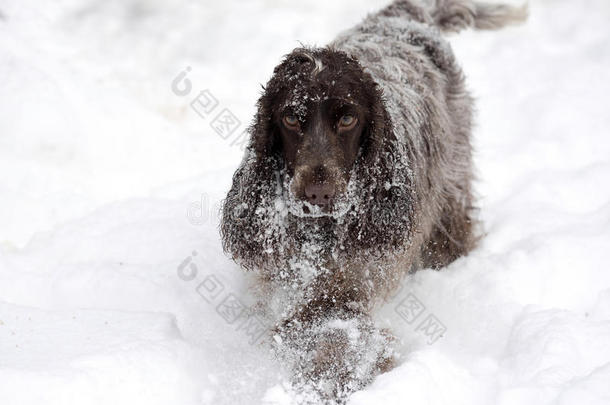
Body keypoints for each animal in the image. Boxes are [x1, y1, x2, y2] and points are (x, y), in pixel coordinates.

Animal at [221, 0, 524, 400]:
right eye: (290, 118)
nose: (319, 193)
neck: (321, 235)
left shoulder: (356, 277)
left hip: (451, 176)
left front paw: (342, 374)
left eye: (349, 119)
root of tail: (405, 16)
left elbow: (331, 324)